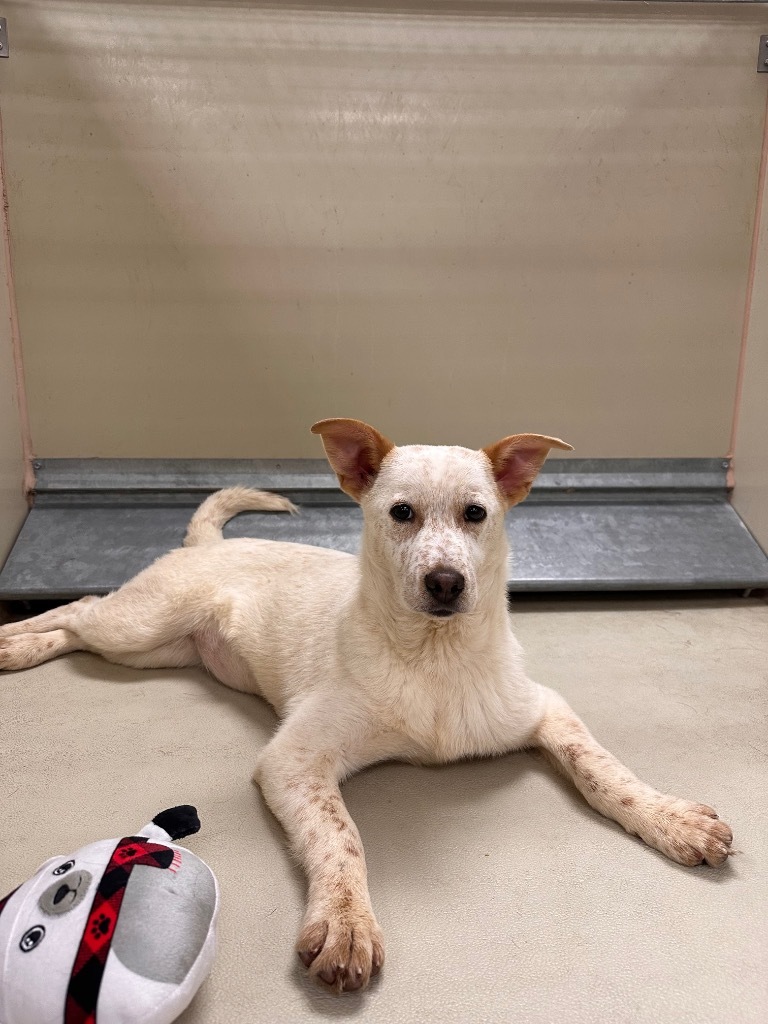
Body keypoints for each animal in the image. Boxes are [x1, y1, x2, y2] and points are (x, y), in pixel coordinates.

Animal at [0, 419, 733, 987]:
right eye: (401, 513)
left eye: (476, 513)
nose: (446, 581)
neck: (434, 659)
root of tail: (213, 543)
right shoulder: (294, 760)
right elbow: (340, 835)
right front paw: (346, 924)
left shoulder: (544, 709)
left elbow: (603, 770)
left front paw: (671, 820)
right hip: (136, 628)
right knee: (77, 609)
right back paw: (13, 644)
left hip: (160, 651)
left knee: (78, 624)